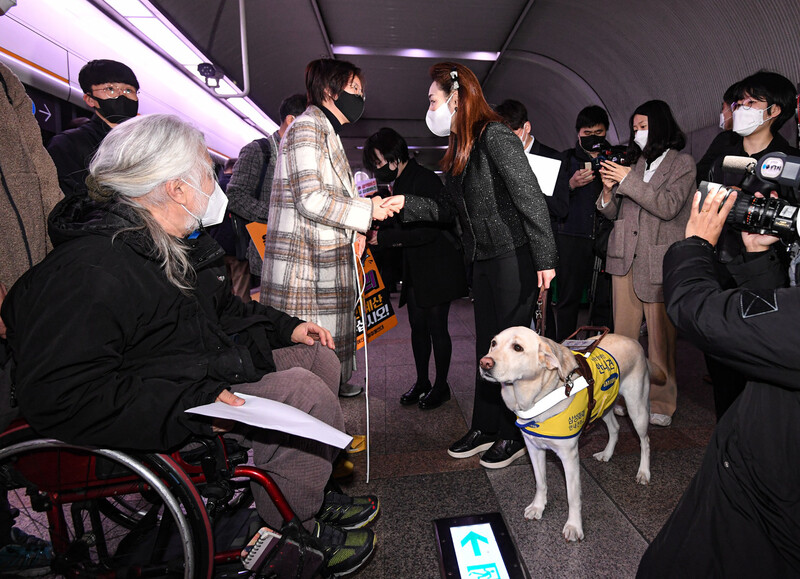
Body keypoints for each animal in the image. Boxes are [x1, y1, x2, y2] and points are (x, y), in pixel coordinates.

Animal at [478, 328, 660, 540]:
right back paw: (607, 454)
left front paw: (574, 526)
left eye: (517, 347)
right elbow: (540, 482)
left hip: (636, 407)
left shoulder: (569, 457)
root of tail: (634, 341)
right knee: (615, 428)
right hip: (603, 404)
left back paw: (644, 472)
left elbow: (573, 496)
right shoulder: (534, 449)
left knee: (645, 440)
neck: (538, 396)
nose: (484, 362)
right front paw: (538, 507)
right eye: (493, 343)